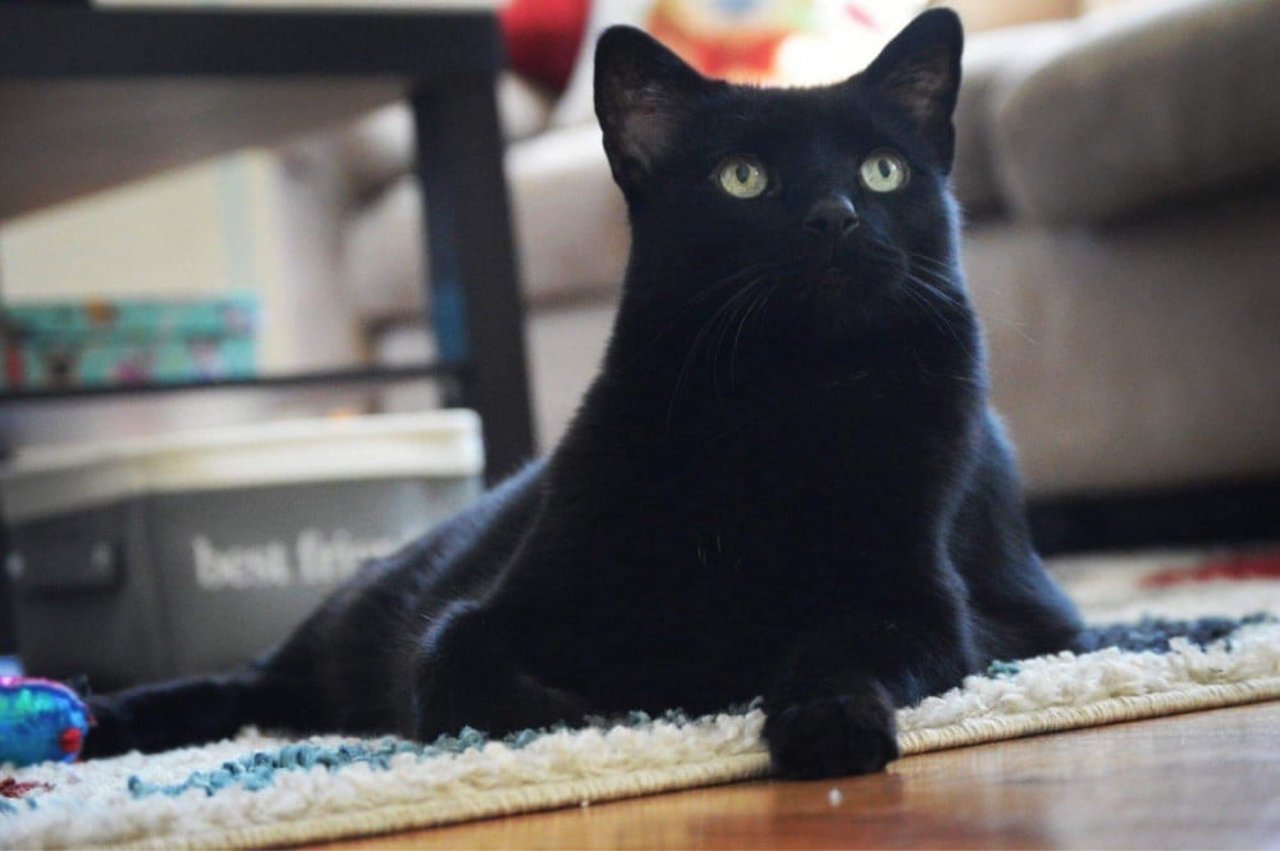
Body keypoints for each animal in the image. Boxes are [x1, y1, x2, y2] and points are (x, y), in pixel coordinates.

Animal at [85, 8, 1080, 778]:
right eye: (742, 178)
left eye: (882, 169)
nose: (834, 218)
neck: (783, 398)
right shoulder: (499, 603)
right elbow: (448, 662)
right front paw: (585, 708)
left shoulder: (925, 606)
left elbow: (839, 650)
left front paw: (827, 724)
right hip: (351, 620)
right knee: (255, 682)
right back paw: (103, 720)